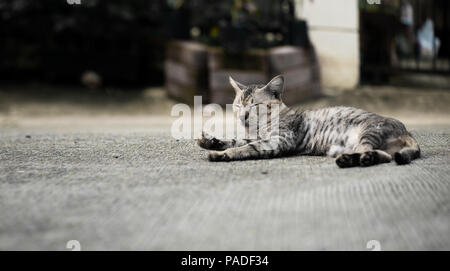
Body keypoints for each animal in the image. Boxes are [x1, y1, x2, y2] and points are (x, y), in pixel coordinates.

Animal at [196, 75, 418, 168]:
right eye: (237, 106)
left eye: (255, 105)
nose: (243, 116)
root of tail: (406, 131)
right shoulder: (258, 137)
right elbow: (236, 140)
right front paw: (211, 141)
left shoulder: (278, 141)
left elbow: (243, 148)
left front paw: (221, 154)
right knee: (383, 155)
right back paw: (354, 159)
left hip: (368, 132)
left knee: (378, 154)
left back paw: (355, 160)